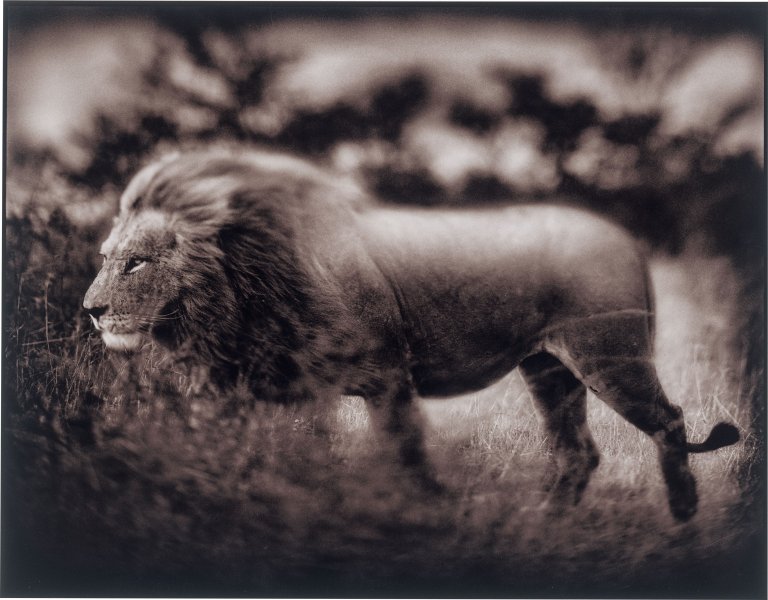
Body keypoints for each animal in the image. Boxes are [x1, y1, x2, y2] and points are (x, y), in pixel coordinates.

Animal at [83, 150, 739, 521]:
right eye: (106, 257)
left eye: (136, 264)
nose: (90, 309)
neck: (240, 284)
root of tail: (624, 236)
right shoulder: (244, 391)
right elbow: (250, 459)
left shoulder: (386, 376)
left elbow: (404, 457)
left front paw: (422, 517)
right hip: (549, 369)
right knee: (577, 451)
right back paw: (544, 522)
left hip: (610, 357)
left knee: (670, 420)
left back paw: (684, 519)